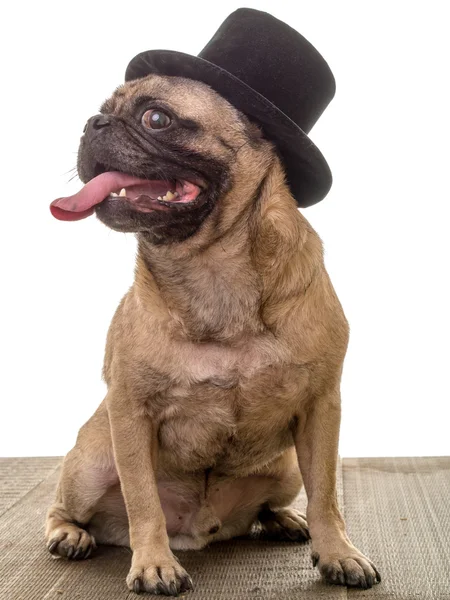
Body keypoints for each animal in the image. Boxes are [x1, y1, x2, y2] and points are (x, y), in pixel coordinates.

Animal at [45, 76, 382, 596]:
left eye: (156, 118)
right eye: (101, 110)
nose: (93, 123)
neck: (211, 265)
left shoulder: (321, 408)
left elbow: (326, 492)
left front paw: (339, 554)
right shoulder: (131, 413)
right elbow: (143, 500)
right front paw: (154, 564)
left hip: (286, 466)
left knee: (278, 501)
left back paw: (286, 519)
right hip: (91, 462)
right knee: (64, 507)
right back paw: (70, 535)